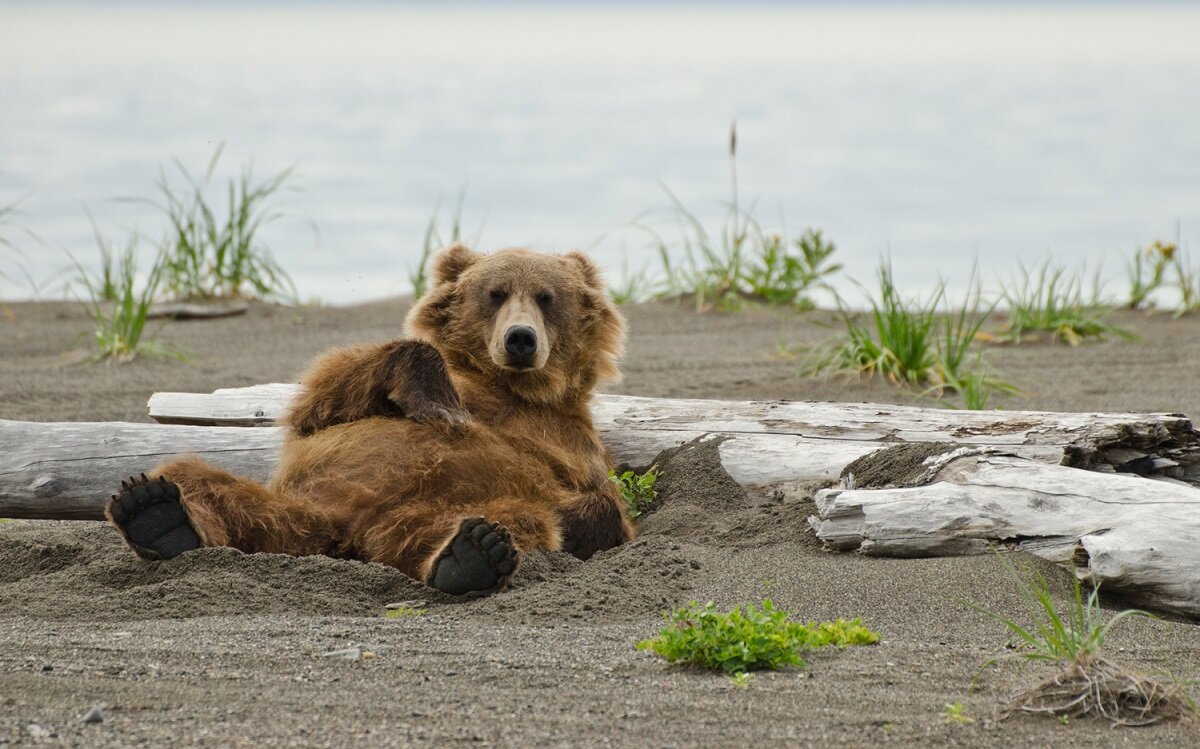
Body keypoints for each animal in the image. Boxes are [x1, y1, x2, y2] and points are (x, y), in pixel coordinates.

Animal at [103, 247, 638, 597]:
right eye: (496, 292)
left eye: (547, 297)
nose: (520, 339)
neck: (508, 388)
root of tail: (344, 533)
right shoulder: (342, 408)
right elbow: (323, 401)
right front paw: (439, 403)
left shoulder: (570, 442)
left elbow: (602, 506)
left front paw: (579, 514)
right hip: (297, 500)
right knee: (197, 479)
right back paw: (157, 515)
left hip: (435, 511)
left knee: (512, 521)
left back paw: (472, 557)